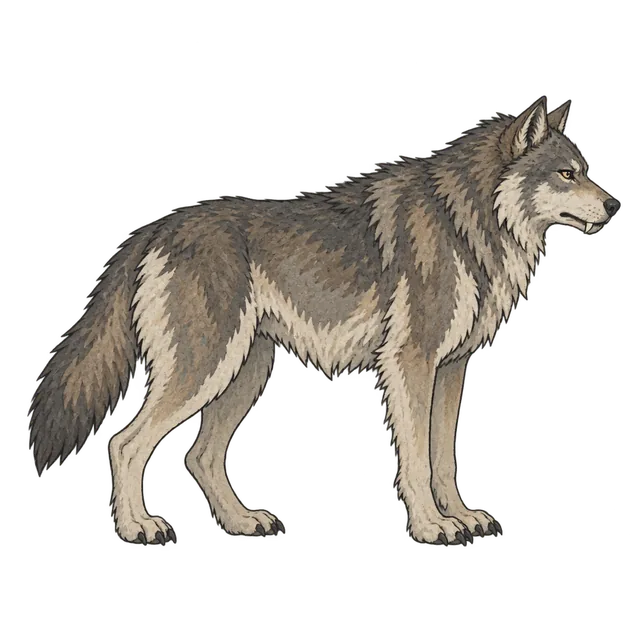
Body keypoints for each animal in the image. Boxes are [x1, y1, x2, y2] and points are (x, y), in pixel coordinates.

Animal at [27, 96, 621, 547]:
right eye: (567, 174)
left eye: (586, 171)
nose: (615, 205)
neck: (471, 219)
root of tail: (155, 228)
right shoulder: (411, 363)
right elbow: (416, 461)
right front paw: (431, 527)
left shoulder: (451, 369)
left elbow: (443, 457)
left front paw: (461, 517)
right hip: (205, 371)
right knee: (125, 445)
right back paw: (138, 529)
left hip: (242, 374)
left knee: (199, 455)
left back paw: (241, 522)